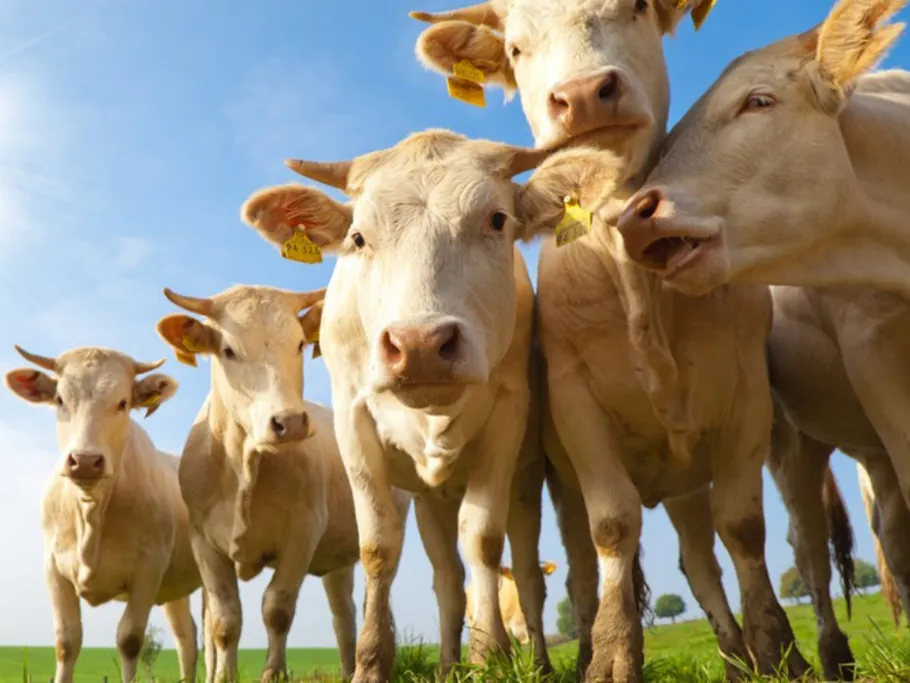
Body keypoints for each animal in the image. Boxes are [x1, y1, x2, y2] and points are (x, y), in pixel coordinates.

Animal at [4, 346, 201, 683]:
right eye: (60, 400)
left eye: (123, 403)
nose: (85, 461)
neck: (91, 514)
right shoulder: (53, 567)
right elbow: (66, 641)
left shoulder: (149, 568)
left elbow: (130, 639)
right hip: (177, 586)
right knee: (186, 634)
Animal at [155, 284, 411, 683]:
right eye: (228, 350)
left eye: (299, 344)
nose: (289, 422)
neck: (243, 467)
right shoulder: (203, 542)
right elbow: (224, 621)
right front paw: (224, 676)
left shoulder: (302, 534)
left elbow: (277, 609)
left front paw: (273, 673)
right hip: (337, 557)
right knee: (343, 612)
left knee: (372, 595)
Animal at [411, 2, 808, 680]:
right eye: (515, 49)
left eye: (637, 9)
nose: (581, 94)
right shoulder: (575, 405)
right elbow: (613, 528)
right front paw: (614, 656)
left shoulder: (746, 397)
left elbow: (743, 527)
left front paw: (779, 653)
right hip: (560, 481)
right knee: (581, 570)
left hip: (684, 480)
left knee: (701, 563)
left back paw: (735, 659)